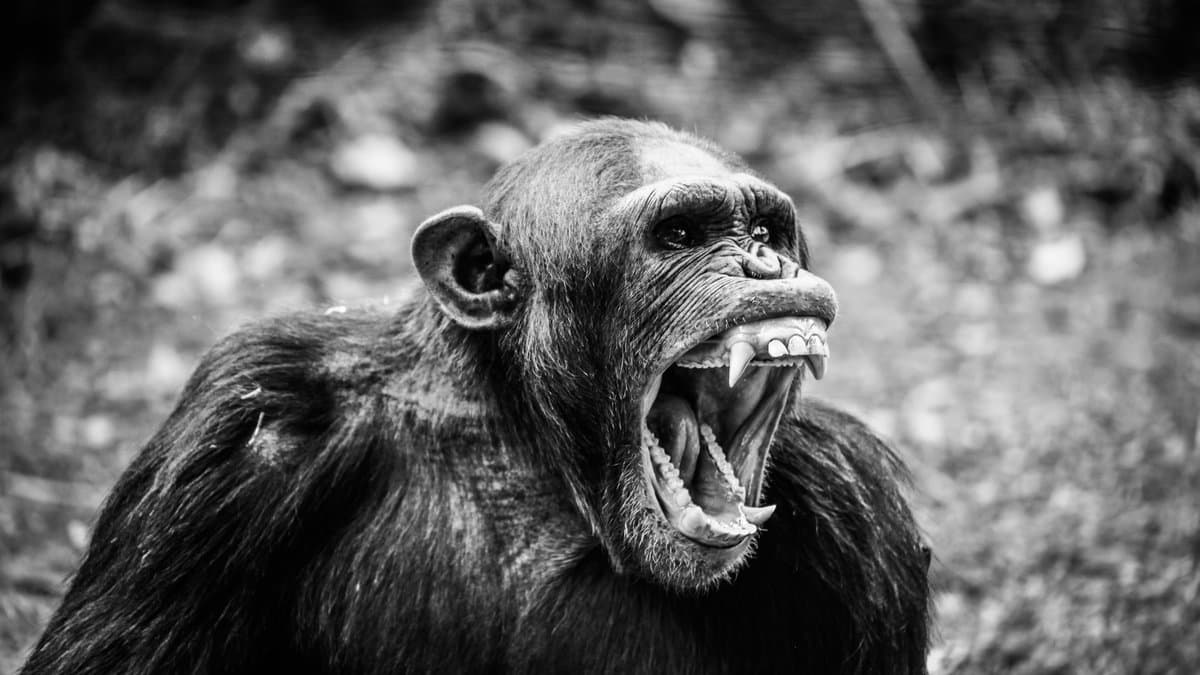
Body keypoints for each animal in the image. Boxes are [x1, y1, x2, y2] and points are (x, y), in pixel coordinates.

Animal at [21, 119, 931, 674]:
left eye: (766, 231)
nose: (764, 263)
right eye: (678, 236)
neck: (522, 446)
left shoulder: (854, 502)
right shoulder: (243, 422)